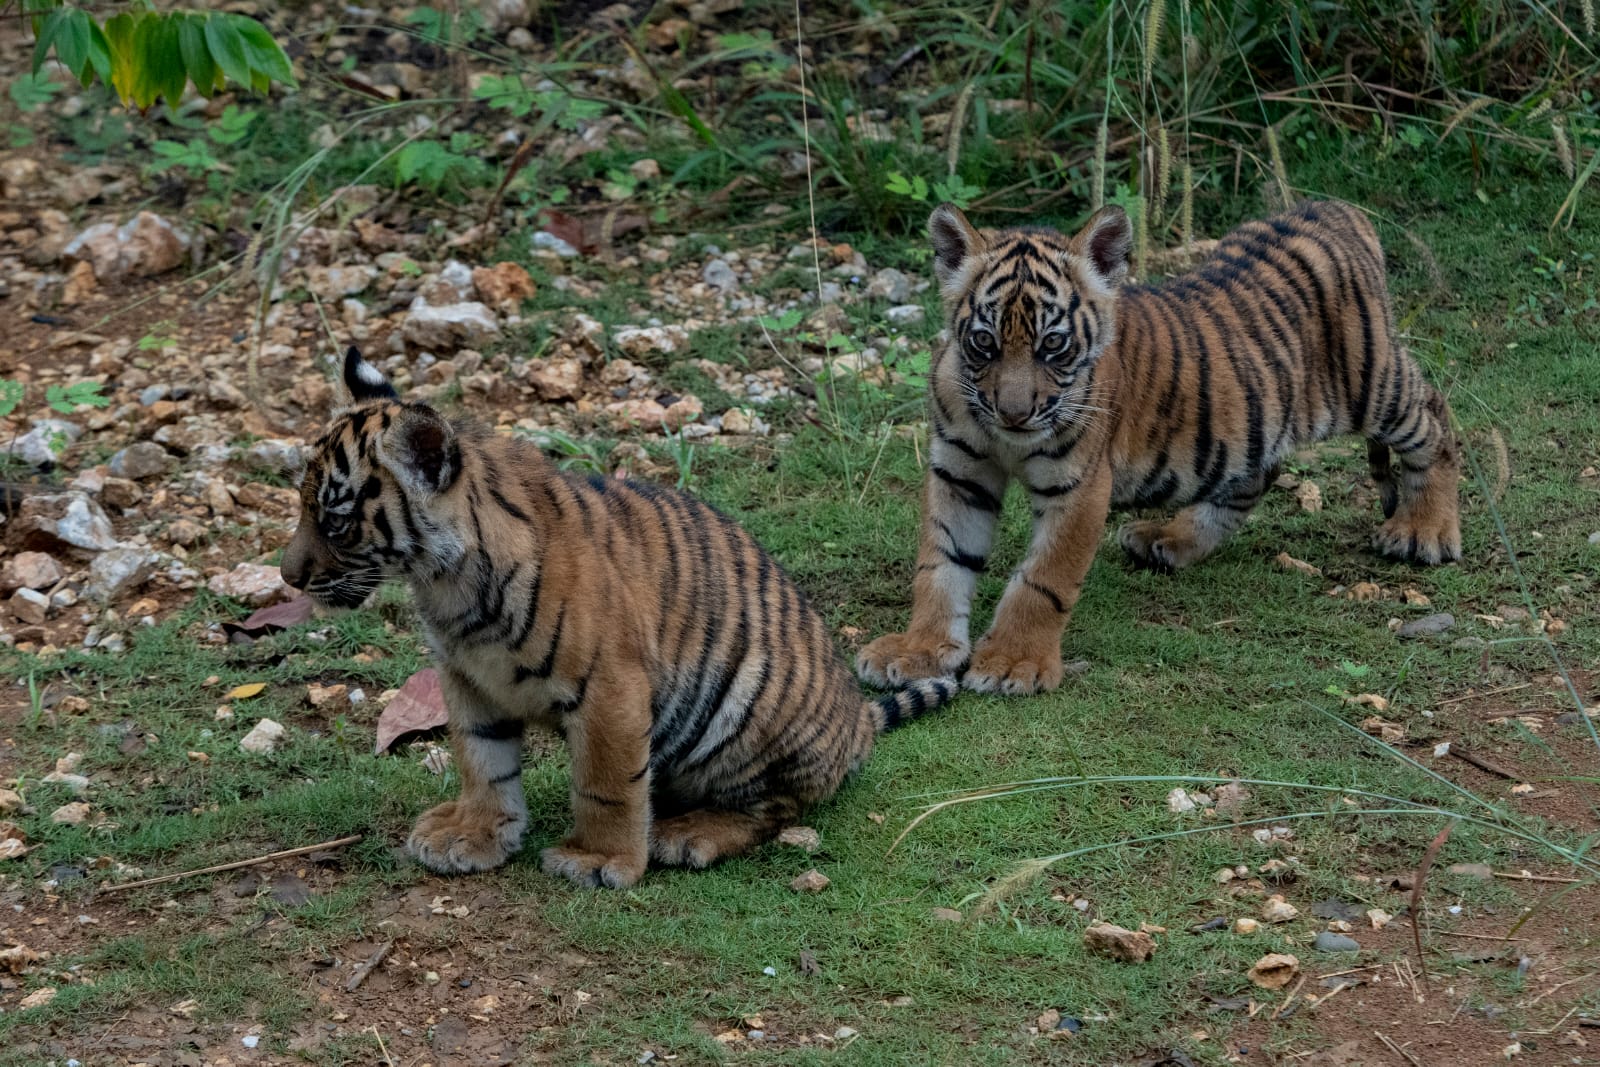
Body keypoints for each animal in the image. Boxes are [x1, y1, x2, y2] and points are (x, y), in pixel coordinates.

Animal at [281, 348, 957, 888]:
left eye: (334, 520)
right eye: (301, 504)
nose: (288, 578)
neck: (444, 581)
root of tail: (855, 721)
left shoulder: (609, 687)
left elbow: (605, 783)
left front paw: (598, 861)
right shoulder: (467, 676)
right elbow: (481, 759)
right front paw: (473, 834)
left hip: (748, 714)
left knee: (779, 806)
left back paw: (689, 834)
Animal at [857, 199, 1461, 696]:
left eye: (1054, 344)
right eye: (984, 342)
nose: (1014, 413)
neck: (1003, 440)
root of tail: (1338, 208)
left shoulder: (1080, 486)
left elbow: (1044, 579)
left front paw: (1012, 663)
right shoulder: (959, 472)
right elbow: (941, 565)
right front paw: (919, 651)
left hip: (1370, 384)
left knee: (1436, 416)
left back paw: (1423, 531)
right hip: (1252, 419)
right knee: (1249, 479)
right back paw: (1169, 539)